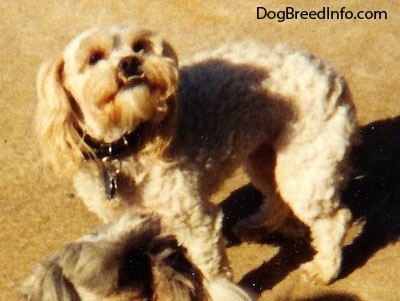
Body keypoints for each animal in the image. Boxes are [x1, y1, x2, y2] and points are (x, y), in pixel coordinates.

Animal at [36, 25, 358, 284]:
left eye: (140, 46)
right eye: (93, 57)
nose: (131, 62)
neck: (125, 146)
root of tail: (330, 73)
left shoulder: (196, 218)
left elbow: (211, 268)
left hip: (304, 169)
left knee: (334, 219)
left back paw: (325, 269)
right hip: (265, 158)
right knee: (276, 196)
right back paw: (259, 226)